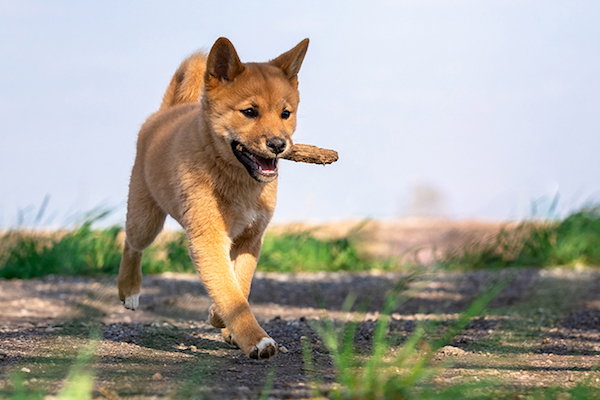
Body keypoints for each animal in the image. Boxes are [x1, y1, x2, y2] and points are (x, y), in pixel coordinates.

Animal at [119, 38, 312, 360]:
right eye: (250, 111)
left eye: (286, 113)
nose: (278, 144)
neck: (238, 181)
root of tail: (166, 112)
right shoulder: (209, 238)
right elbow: (230, 292)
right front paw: (255, 339)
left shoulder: (250, 238)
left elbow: (238, 286)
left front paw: (221, 319)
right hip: (145, 219)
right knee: (132, 245)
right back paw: (129, 290)